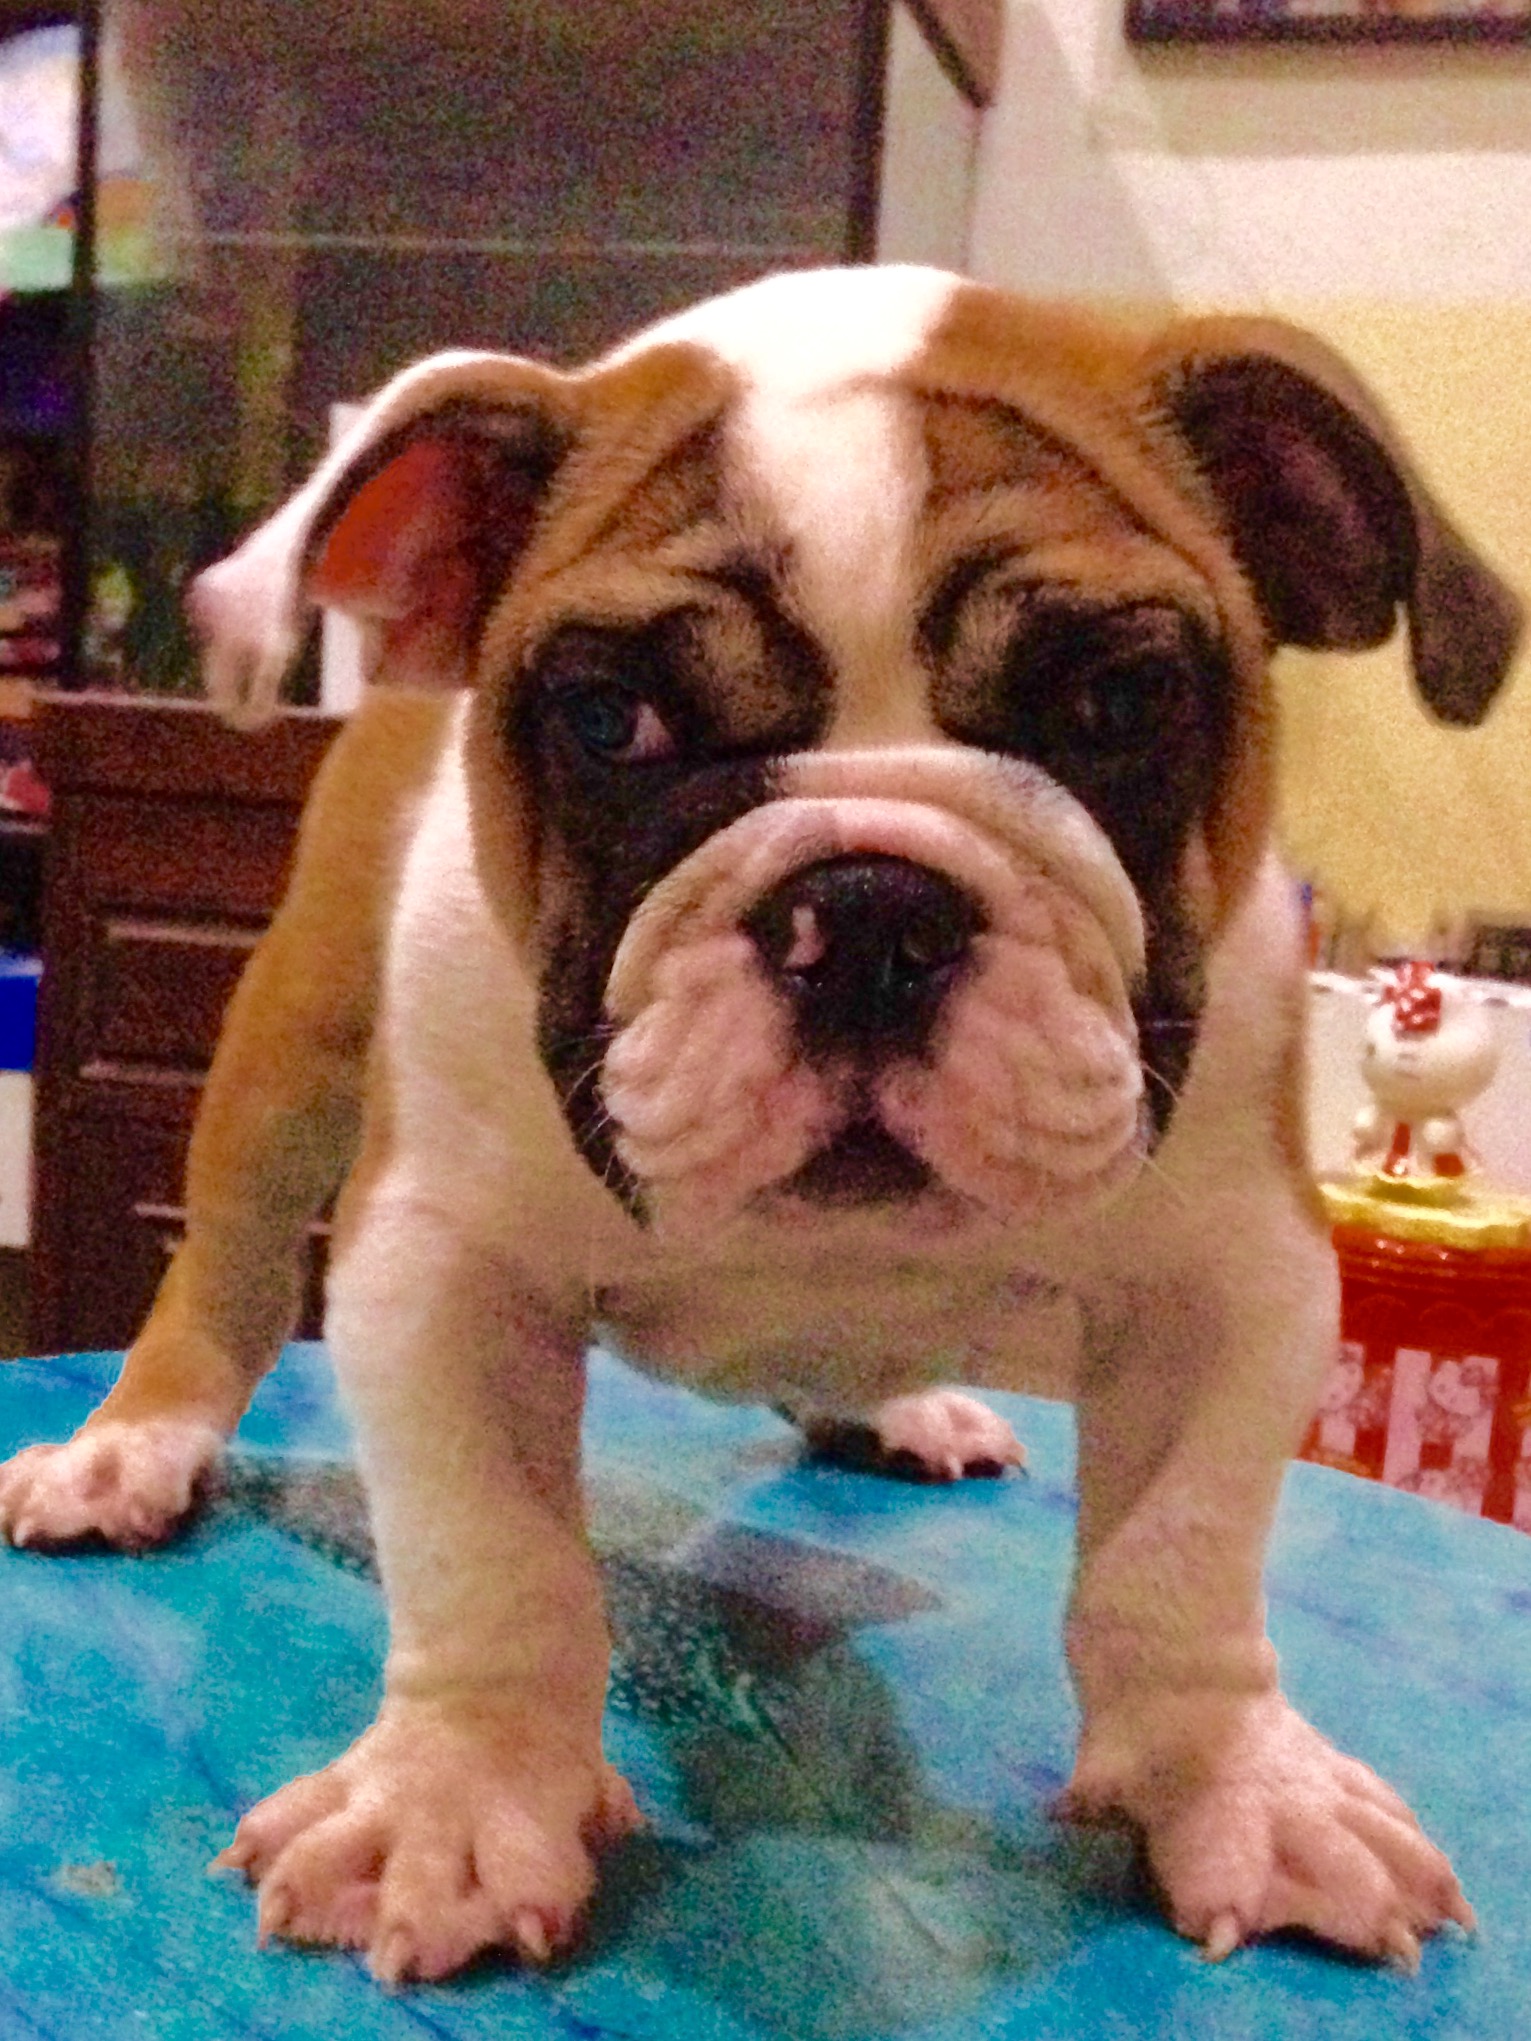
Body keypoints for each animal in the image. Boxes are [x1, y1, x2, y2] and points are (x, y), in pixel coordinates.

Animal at [1, 266, 1518, 1982]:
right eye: (609, 721)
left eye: (1114, 699)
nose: (866, 908)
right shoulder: (440, 1269)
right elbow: (491, 1558)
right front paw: (455, 1798)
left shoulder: (1228, 1282)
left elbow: (1174, 1563)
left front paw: (1237, 1791)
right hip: (292, 1051)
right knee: (228, 1276)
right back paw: (128, 1449)